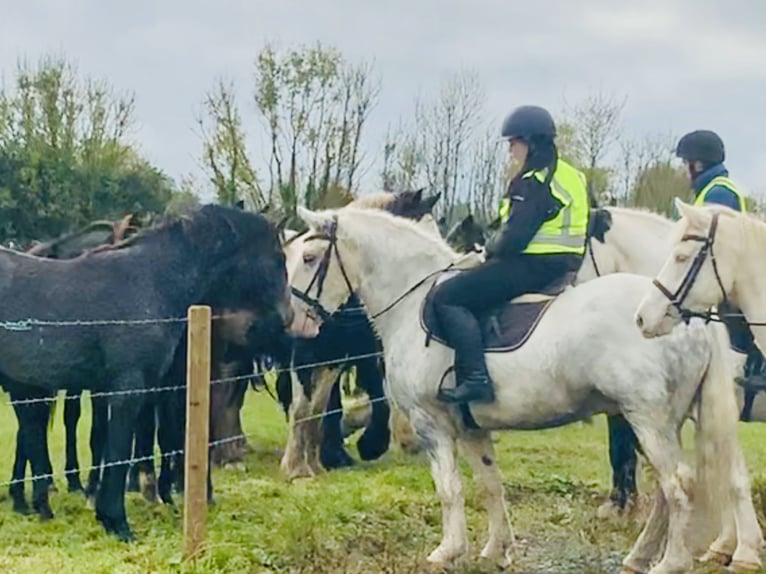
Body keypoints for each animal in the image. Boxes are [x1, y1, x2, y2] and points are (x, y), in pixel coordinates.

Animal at [0, 205, 294, 544]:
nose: (288, 316)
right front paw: (117, 521)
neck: (150, 282)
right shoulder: (128, 389)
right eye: (279, 258)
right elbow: (118, 447)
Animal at [292, 206, 764, 574]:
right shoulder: (472, 428)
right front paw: (496, 550)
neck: (413, 303)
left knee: (678, 486)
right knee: (671, 490)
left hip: (646, 419)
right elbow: (490, 484)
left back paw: (671, 561)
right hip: (665, 422)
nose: (295, 324)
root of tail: (687, 319)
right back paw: (643, 555)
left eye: (311, 257)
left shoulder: (433, 424)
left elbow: (449, 489)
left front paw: (448, 551)